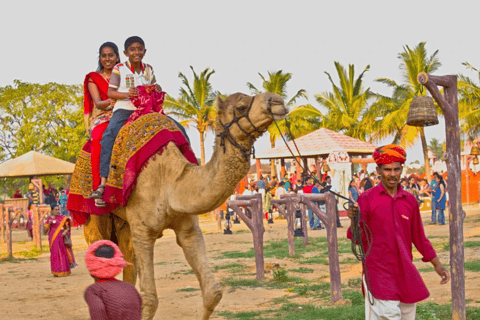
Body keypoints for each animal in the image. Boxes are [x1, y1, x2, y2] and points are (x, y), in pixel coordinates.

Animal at [81, 91, 288, 318]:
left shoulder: (188, 228)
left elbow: (213, 292)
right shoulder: (143, 232)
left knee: (128, 262)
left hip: (123, 222)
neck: (170, 182)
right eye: (241, 107)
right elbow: (150, 299)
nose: (277, 100)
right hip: (93, 216)